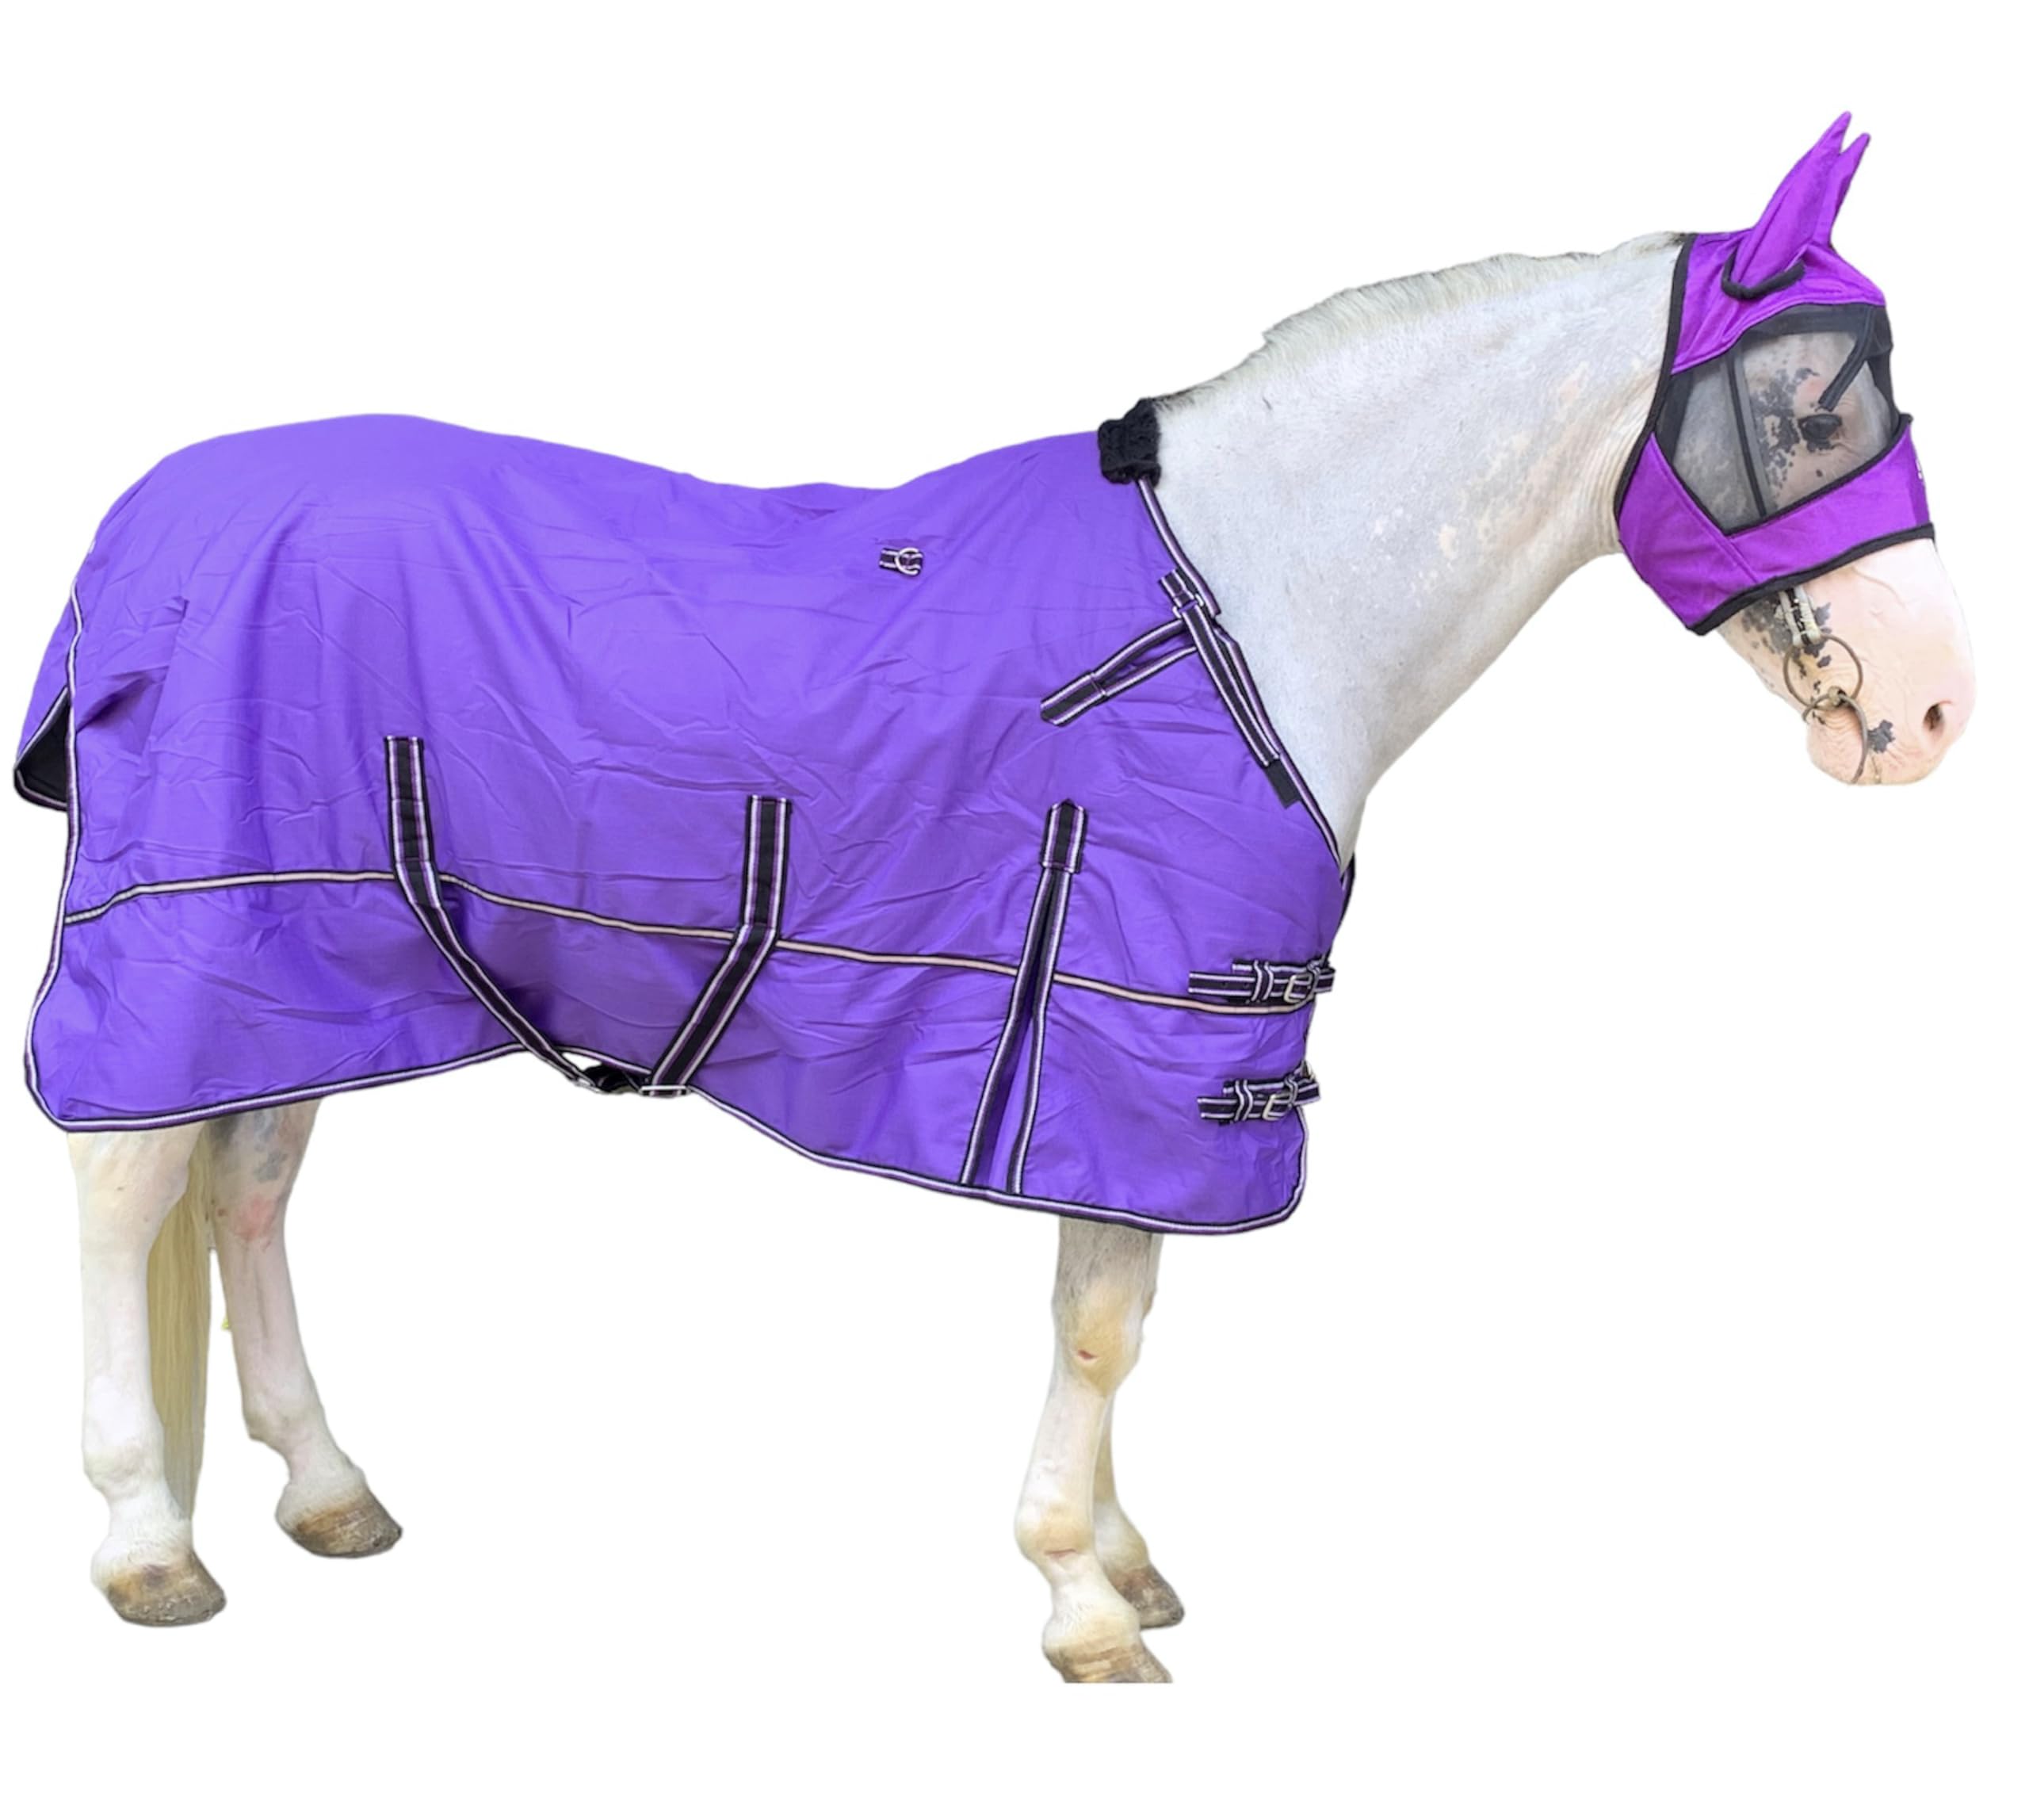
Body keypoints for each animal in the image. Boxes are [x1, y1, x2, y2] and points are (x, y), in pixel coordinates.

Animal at [21, 116, 1974, 1680]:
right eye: (1815, 407)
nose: (1934, 709)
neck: (1244, 598)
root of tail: (142, 522)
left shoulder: (1135, 1079)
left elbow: (1108, 1317)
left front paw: (1118, 1558)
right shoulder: (1134, 1043)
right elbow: (1104, 1326)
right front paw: (1081, 1601)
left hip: (320, 969)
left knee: (249, 1192)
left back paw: (328, 1491)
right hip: (195, 942)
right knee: (128, 1192)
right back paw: (147, 1545)